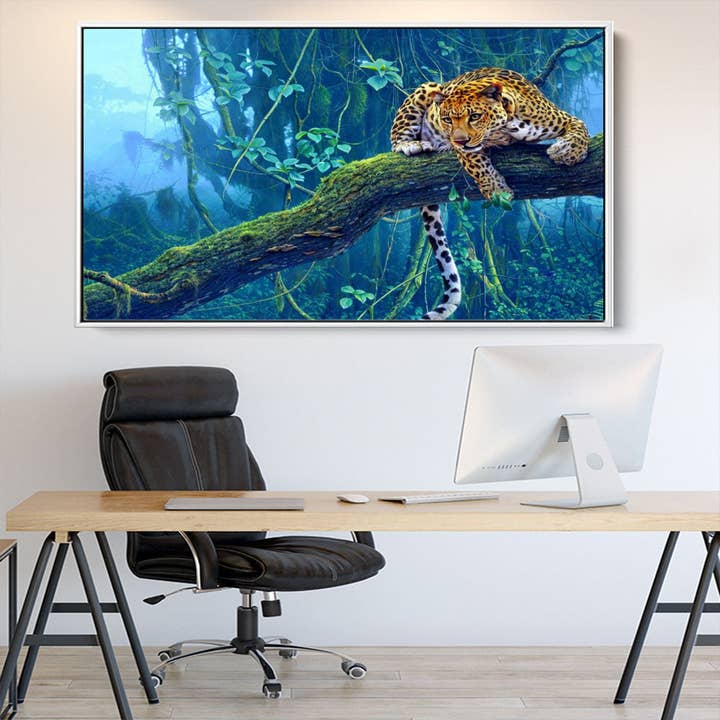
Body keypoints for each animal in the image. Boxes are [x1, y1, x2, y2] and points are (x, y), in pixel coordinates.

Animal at [391, 67, 589, 320]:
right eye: (447, 119)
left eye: (475, 116)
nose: (458, 140)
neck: (508, 125)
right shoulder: (467, 150)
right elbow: (477, 163)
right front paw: (497, 191)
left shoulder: (561, 117)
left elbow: (580, 127)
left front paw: (568, 152)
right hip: (427, 88)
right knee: (396, 139)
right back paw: (411, 145)